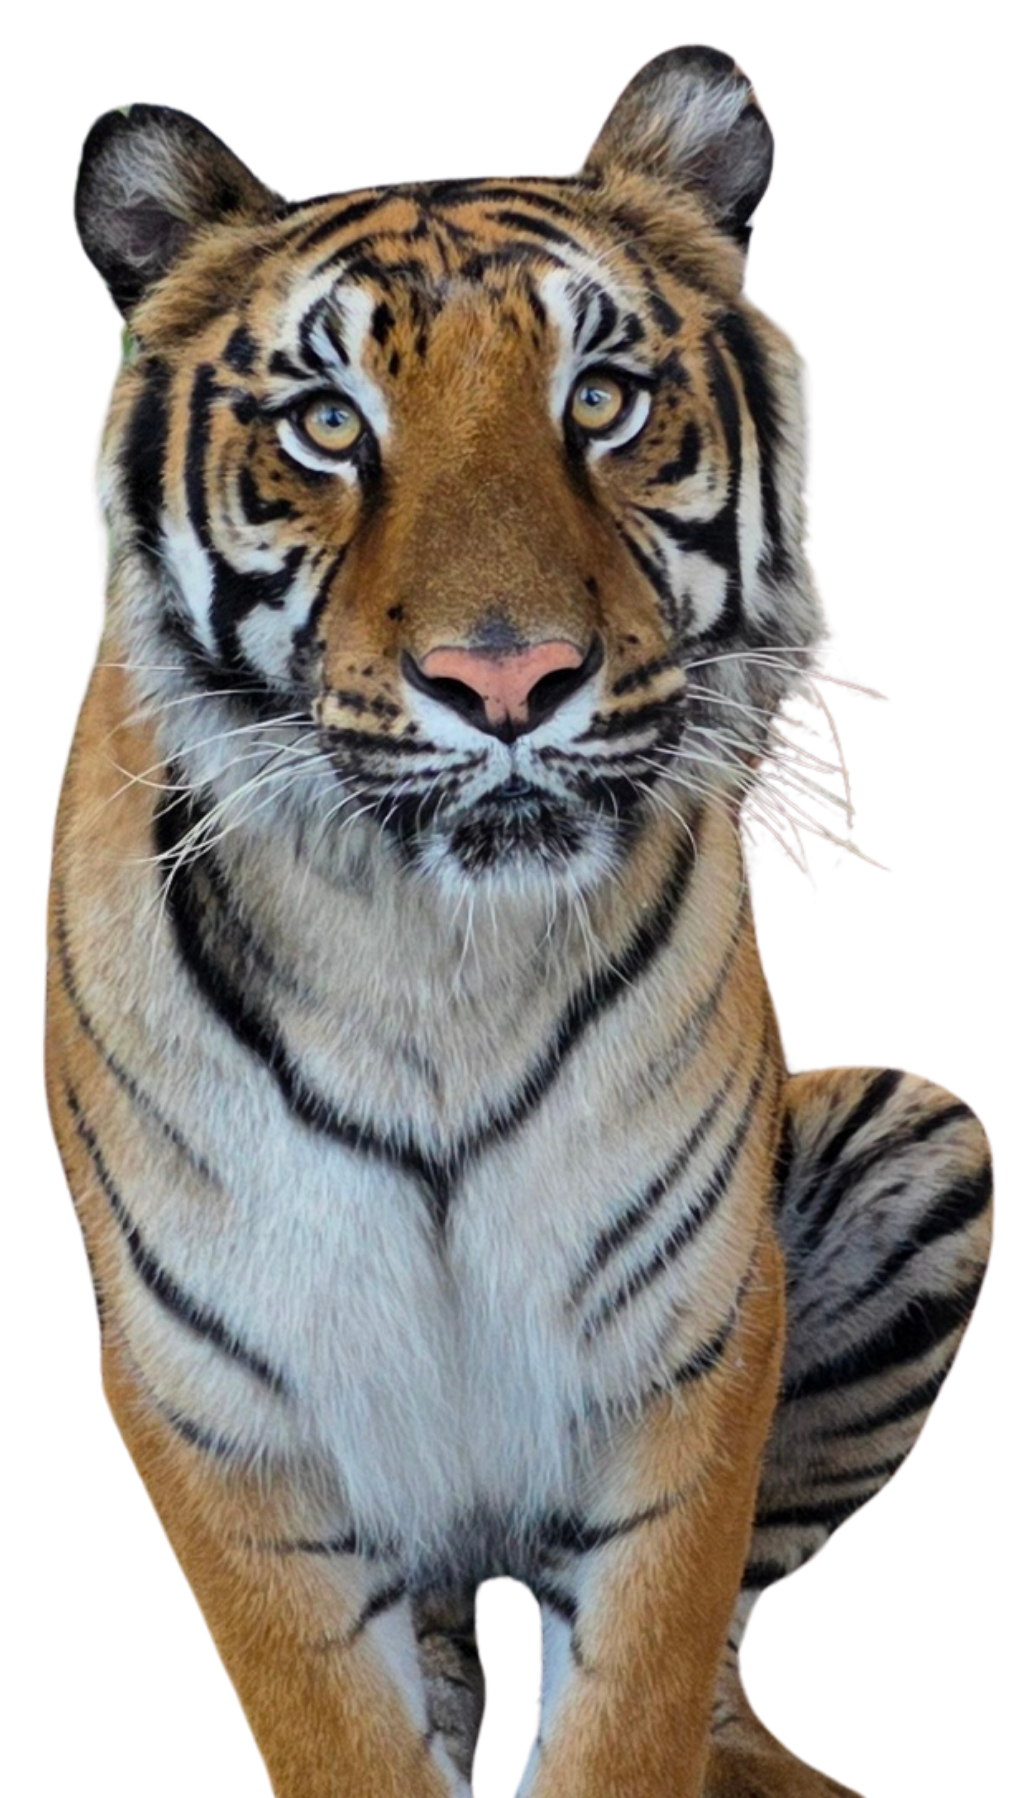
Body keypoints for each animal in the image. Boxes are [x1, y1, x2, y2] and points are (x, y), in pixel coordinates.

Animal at [45, 45, 995, 1798]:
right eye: (327, 423)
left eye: (601, 398)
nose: (507, 680)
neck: (435, 959)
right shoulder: (218, 1393)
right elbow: (339, 1733)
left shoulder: (683, 1347)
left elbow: (638, 1701)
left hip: (922, 1129)